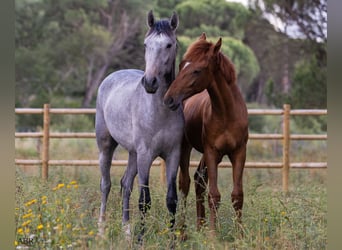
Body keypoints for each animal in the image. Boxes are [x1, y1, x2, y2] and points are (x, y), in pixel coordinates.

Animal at [95, 10, 183, 241]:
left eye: (169, 45)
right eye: (146, 44)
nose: (150, 82)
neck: (159, 111)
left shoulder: (173, 155)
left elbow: (171, 199)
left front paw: (172, 241)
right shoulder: (146, 155)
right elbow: (144, 200)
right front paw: (141, 239)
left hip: (133, 154)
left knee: (125, 185)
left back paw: (126, 231)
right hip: (106, 147)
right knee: (106, 185)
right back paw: (101, 230)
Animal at [164, 33, 248, 232]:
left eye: (197, 70)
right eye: (181, 65)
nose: (169, 98)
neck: (227, 114)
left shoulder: (239, 153)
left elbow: (237, 195)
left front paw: (240, 234)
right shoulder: (212, 152)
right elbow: (214, 195)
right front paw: (213, 234)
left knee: (198, 180)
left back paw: (199, 227)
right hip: (186, 148)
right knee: (185, 183)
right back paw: (183, 231)